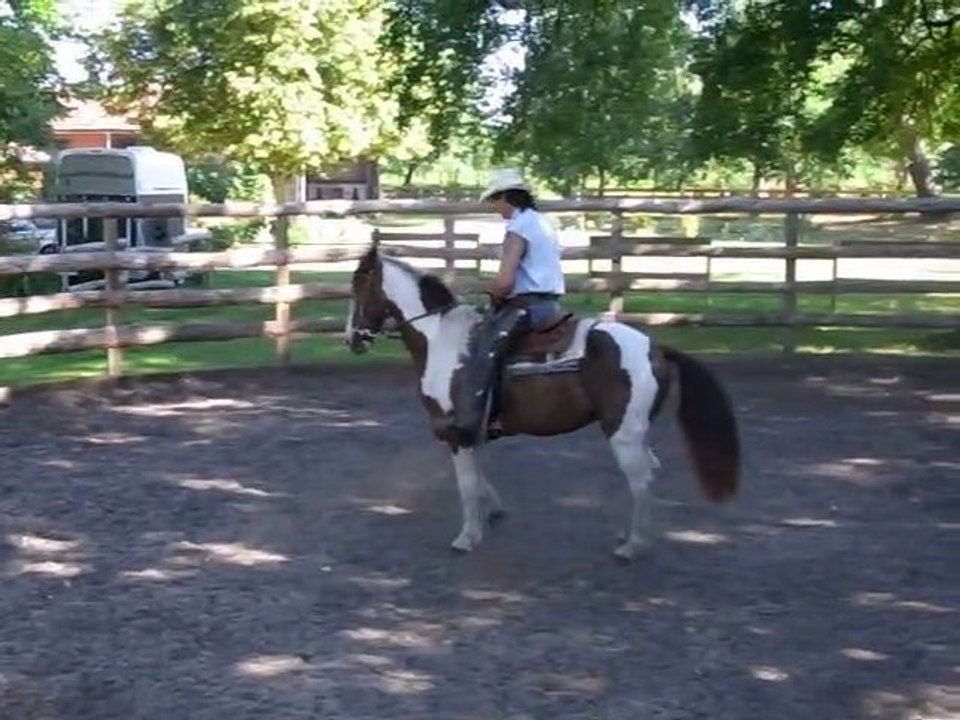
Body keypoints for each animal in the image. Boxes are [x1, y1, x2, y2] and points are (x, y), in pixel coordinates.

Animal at [345, 241, 741, 560]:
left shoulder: (454, 430)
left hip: (623, 434)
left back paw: (633, 545)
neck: (440, 340)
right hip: (636, 432)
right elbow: (479, 476)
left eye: (358, 285)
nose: (351, 339)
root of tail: (655, 348)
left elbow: (467, 483)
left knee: (640, 480)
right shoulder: (472, 431)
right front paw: (492, 512)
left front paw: (467, 536)